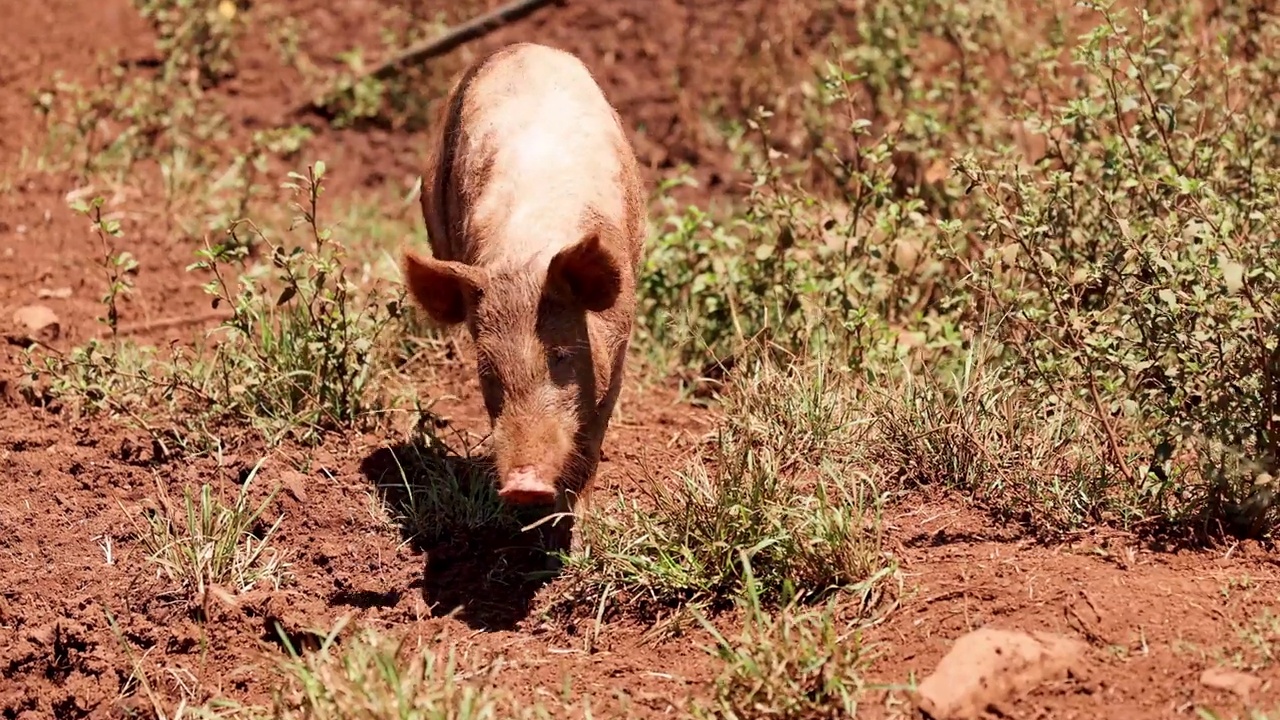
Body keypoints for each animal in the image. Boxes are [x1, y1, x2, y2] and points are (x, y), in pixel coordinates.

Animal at [401, 41, 645, 550]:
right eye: (487, 370)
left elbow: (592, 437)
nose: (523, 485)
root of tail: (521, 47)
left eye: (562, 356)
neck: (527, 255)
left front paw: (576, 535)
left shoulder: (620, 344)